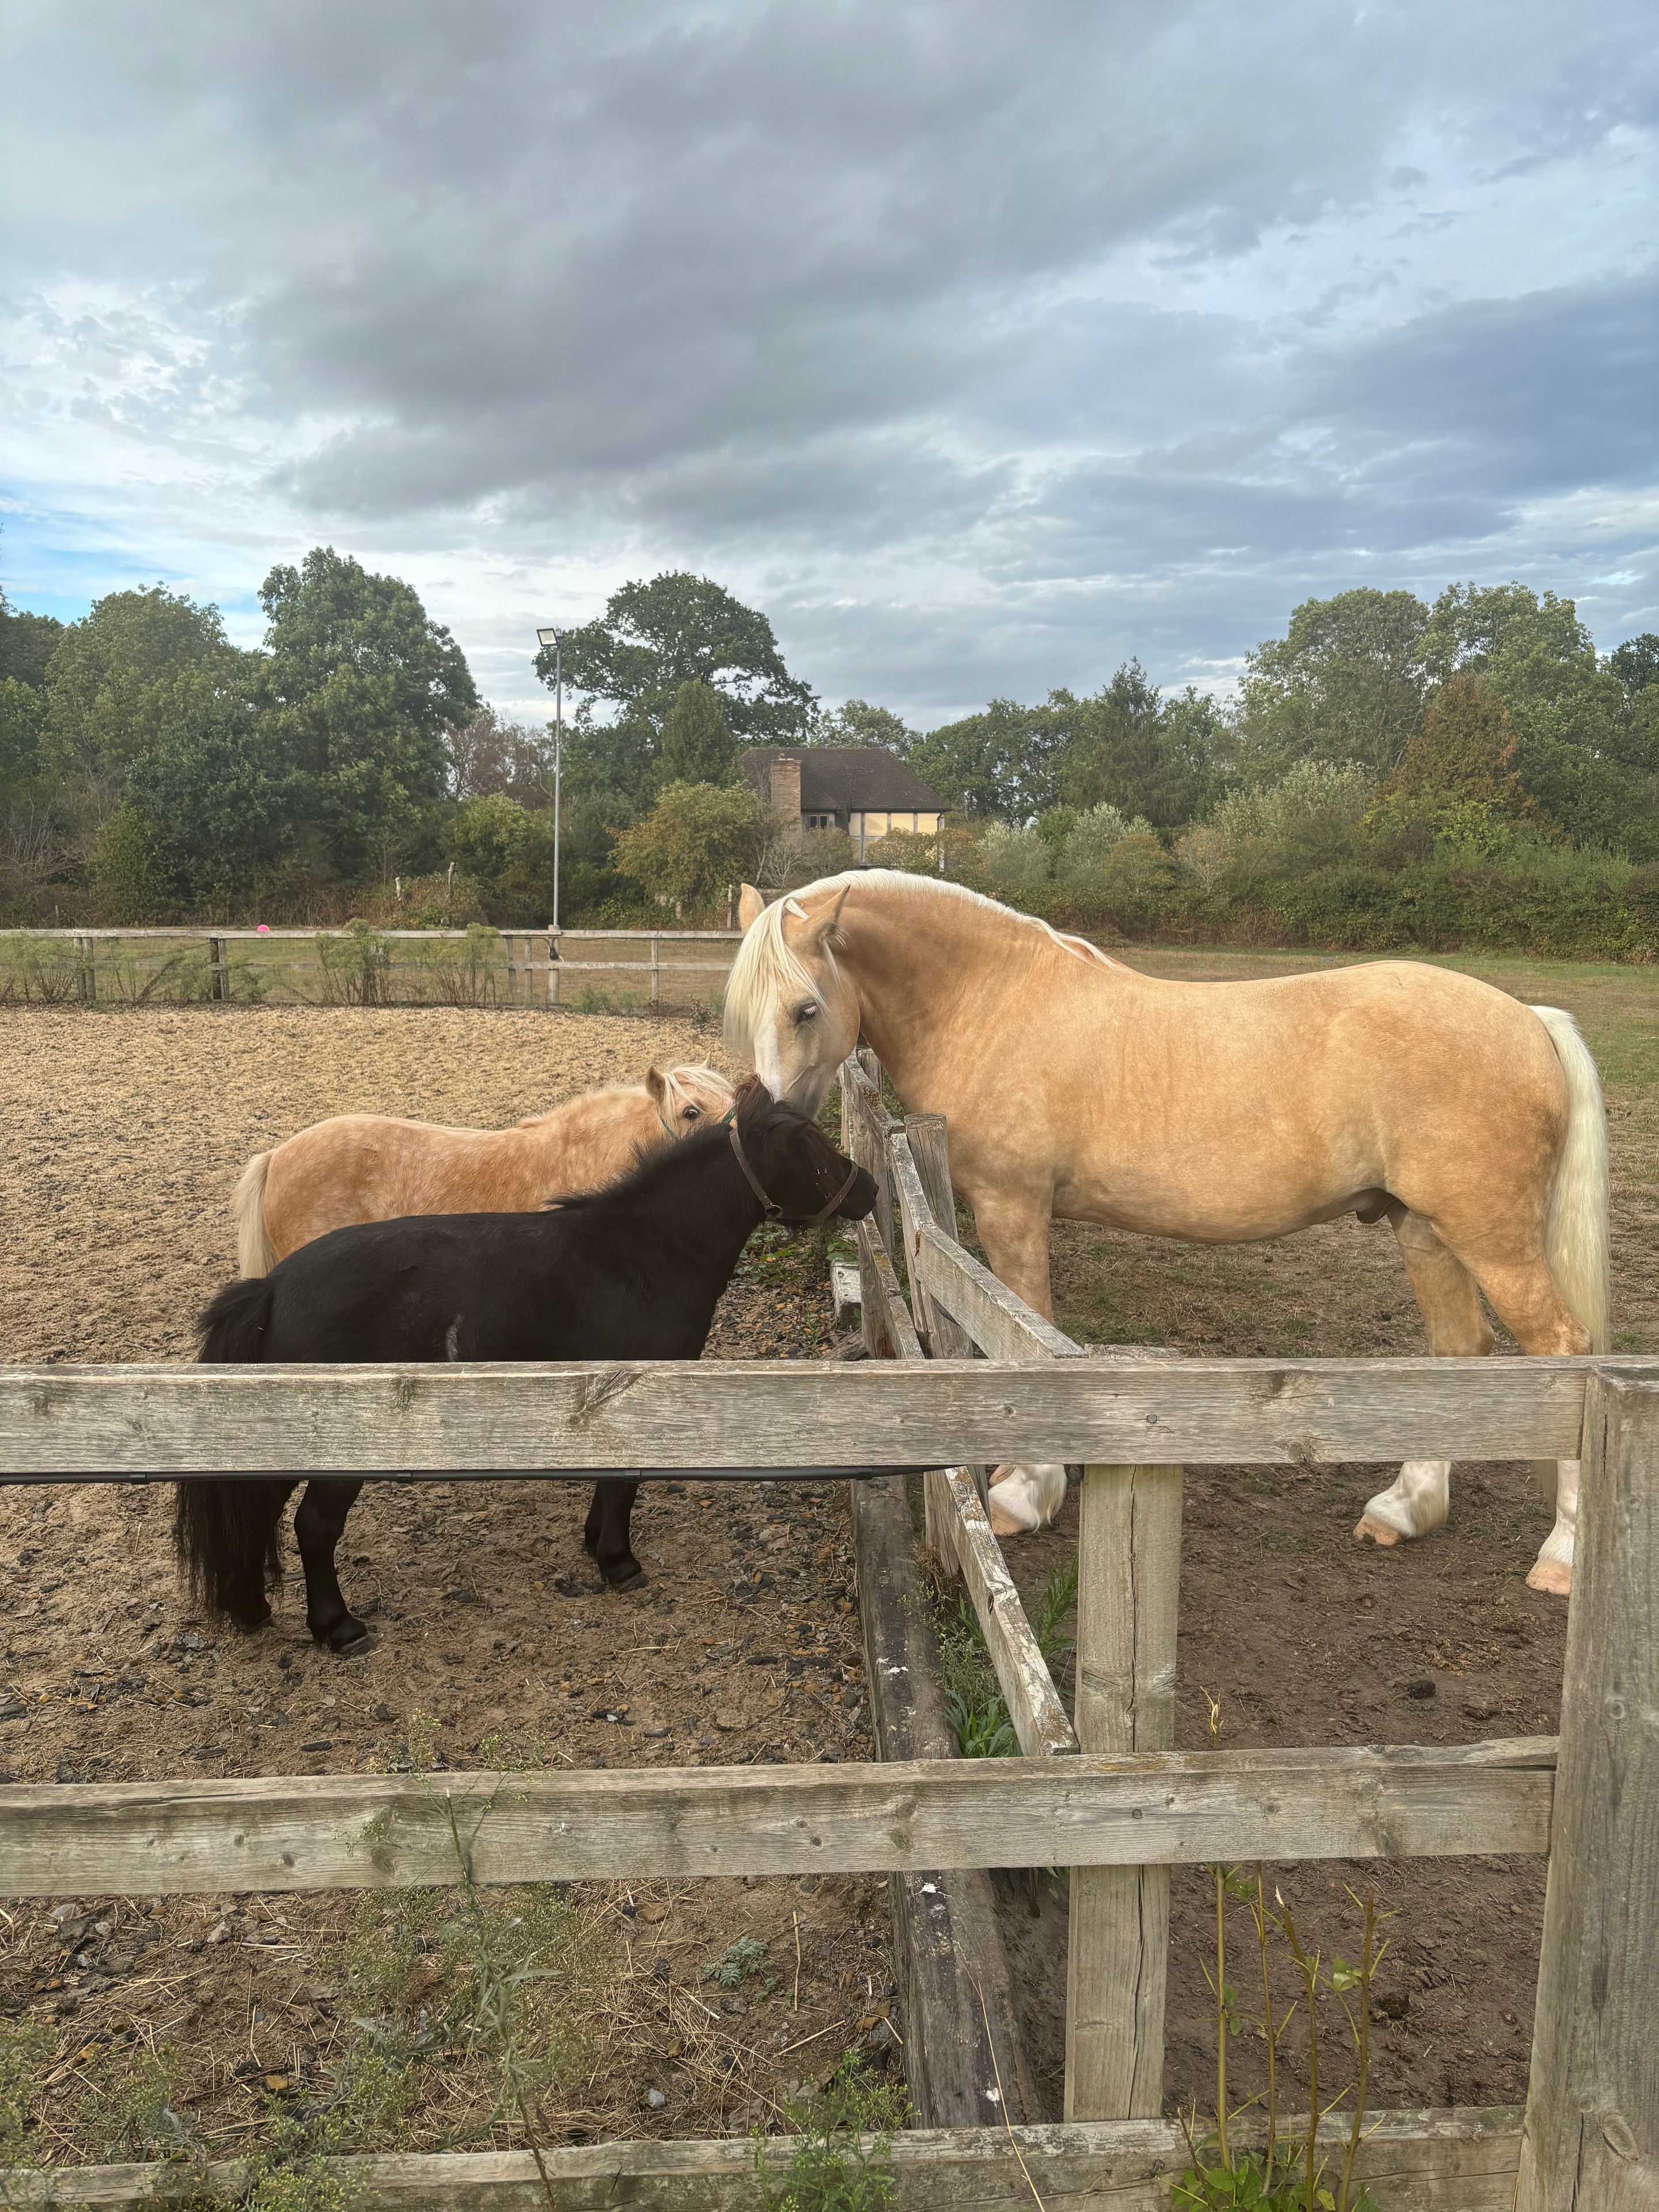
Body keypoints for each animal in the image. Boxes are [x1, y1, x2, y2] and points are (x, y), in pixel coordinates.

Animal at [725, 872, 1608, 1592]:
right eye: (742, 1013)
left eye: (806, 1008)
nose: (760, 1147)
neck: (993, 1002)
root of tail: (1530, 1018)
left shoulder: (1014, 1210)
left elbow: (1027, 1338)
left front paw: (1024, 1492)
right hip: (1424, 1229)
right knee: (1459, 1352)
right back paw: (1403, 1509)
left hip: (1490, 1238)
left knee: (1563, 1354)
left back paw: (1564, 1556)